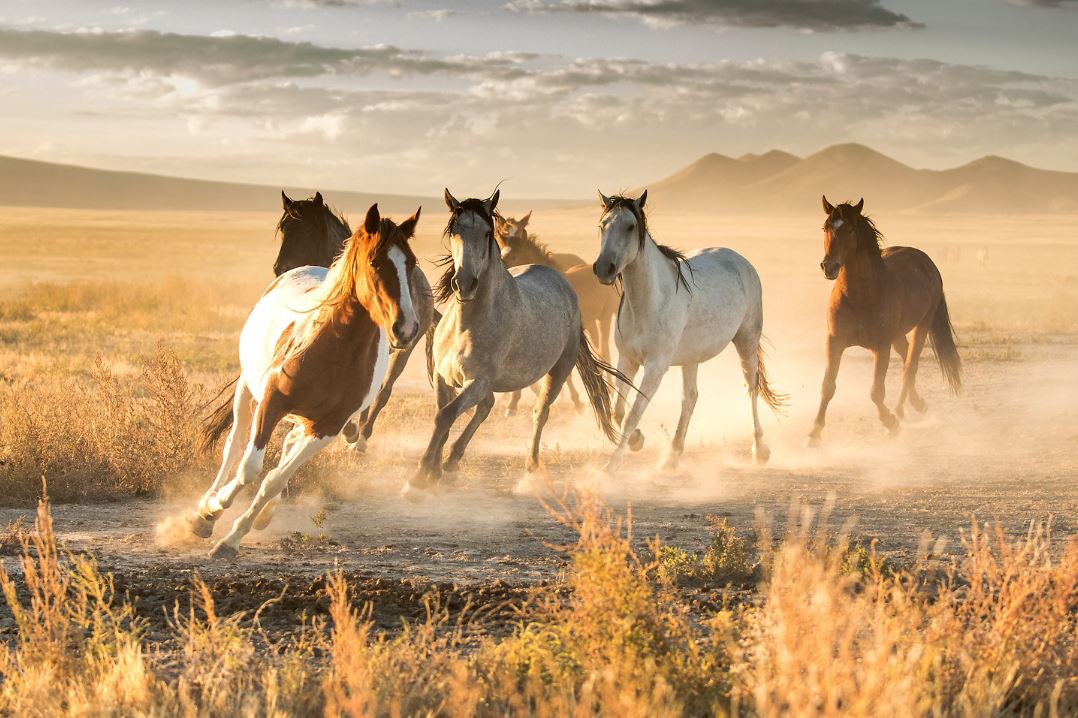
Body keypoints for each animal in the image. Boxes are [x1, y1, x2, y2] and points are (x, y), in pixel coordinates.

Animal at [187, 203, 418, 556]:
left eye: (412, 263)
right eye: (375, 262)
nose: (405, 328)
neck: (333, 349)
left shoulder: (328, 427)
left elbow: (274, 480)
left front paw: (233, 538)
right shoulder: (271, 402)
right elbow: (249, 468)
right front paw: (212, 510)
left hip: (305, 420)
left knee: (285, 447)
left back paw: (259, 515)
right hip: (246, 390)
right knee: (235, 446)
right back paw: (206, 511)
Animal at [590, 189, 784, 472]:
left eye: (630, 226)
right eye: (602, 225)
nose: (604, 268)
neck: (648, 302)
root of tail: (741, 261)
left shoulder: (656, 367)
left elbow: (632, 414)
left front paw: (611, 465)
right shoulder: (627, 360)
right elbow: (619, 410)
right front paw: (637, 440)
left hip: (746, 341)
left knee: (751, 388)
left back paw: (760, 450)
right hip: (691, 358)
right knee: (690, 397)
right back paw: (672, 455)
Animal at [806, 192, 965, 444]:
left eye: (849, 229)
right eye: (825, 227)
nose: (828, 266)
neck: (859, 296)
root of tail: (927, 262)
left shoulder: (880, 346)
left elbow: (876, 392)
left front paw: (890, 423)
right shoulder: (834, 341)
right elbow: (828, 386)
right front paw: (814, 432)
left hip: (922, 326)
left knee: (910, 368)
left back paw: (900, 412)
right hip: (897, 335)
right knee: (906, 360)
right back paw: (917, 405)